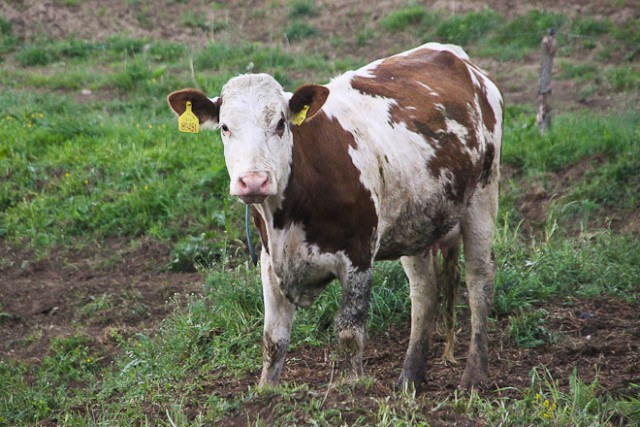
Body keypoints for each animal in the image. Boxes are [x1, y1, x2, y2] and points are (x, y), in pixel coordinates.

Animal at [169, 43, 504, 394]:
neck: (286, 217)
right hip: (417, 221)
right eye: (225, 127)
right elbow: (273, 339)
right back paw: (409, 378)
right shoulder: (269, 260)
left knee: (479, 280)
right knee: (424, 291)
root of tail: (454, 55)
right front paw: (265, 392)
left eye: (280, 124)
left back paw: (474, 375)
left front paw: (353, 387)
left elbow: (349, 334)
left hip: (483, 195)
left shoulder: (358, 255)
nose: (253, 181)